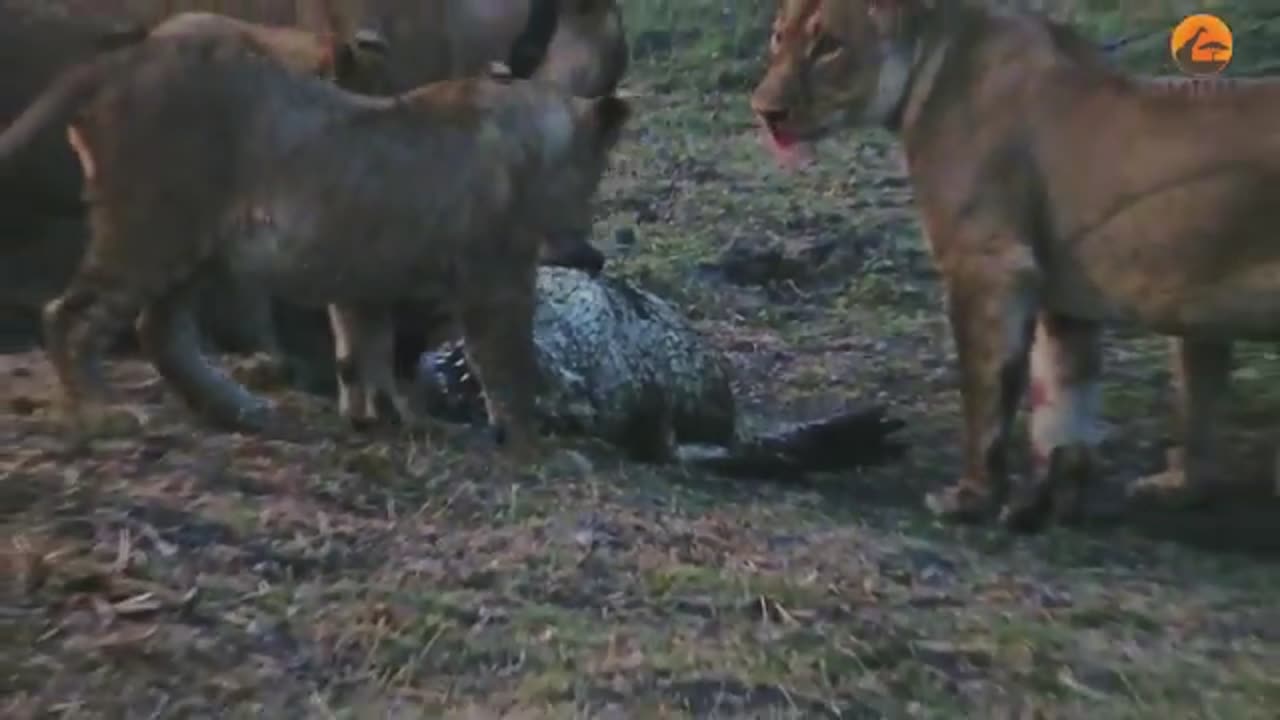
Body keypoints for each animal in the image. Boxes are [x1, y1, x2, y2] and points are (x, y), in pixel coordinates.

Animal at [0, 29, 629, 453]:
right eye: (595, 177)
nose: (593, 256)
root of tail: (118, 62)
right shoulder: (496, 282)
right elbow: (510, 367)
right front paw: (533, 445)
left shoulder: (366, 274)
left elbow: (366, 351)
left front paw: (381, 419)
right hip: (154, 225)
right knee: (71, 315)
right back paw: (100, 414)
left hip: (197, 247)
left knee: (160, 329)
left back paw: (241, 410)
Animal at [752, 0, 1280, 527]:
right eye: (779, 36)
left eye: (829, 46)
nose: (765, 111)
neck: (934, 59)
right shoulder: (1067, 296)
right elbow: (1063, 399)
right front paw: (1049, 501)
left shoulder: (990, 263)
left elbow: (985, 390)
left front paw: (970, 497)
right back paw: (1173, 486)